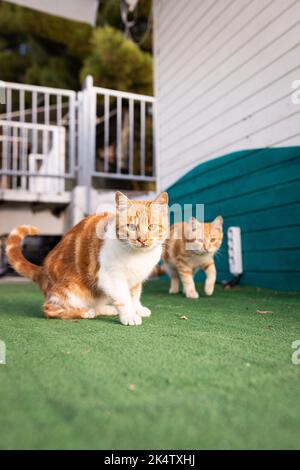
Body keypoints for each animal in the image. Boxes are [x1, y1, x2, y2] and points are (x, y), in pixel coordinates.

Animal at [5, 193, 169, 324]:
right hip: (70, 289)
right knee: (49, 309)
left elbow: (134, 296)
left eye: (152, 226)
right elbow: (123, 298)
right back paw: (85, 312)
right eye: (132, 227)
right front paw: (129, 315)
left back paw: (106, 309)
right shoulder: (111, 277)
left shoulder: (135, 279)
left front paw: (137, 308)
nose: (142, 239)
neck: (139, 256)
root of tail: (42, 270)